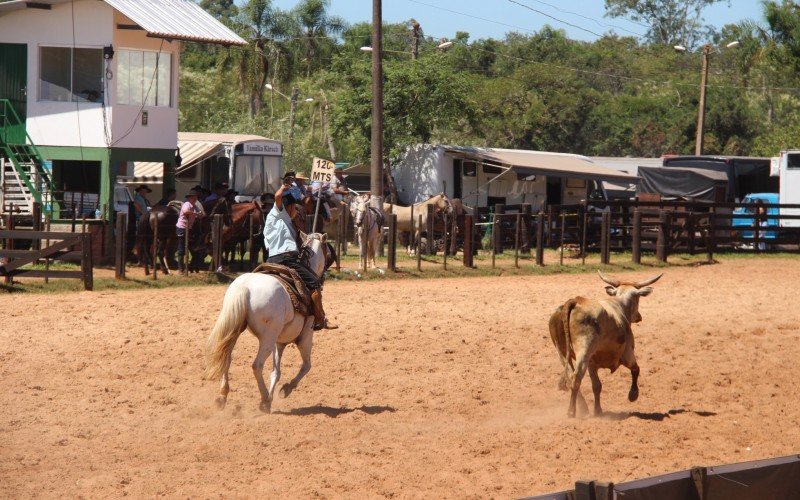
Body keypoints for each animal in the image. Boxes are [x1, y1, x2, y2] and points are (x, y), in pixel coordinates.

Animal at [206, 232, 334, 412]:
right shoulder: (305, 337)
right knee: (257, 365)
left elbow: (276, 371)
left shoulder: (279, 342)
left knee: (227, 358)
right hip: (266, 339)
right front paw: (285, 389)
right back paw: (264, 398)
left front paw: (274, 395)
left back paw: (222, 396)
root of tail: (244, 288)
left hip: (235, 331)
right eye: (327, 251)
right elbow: (306, 366)